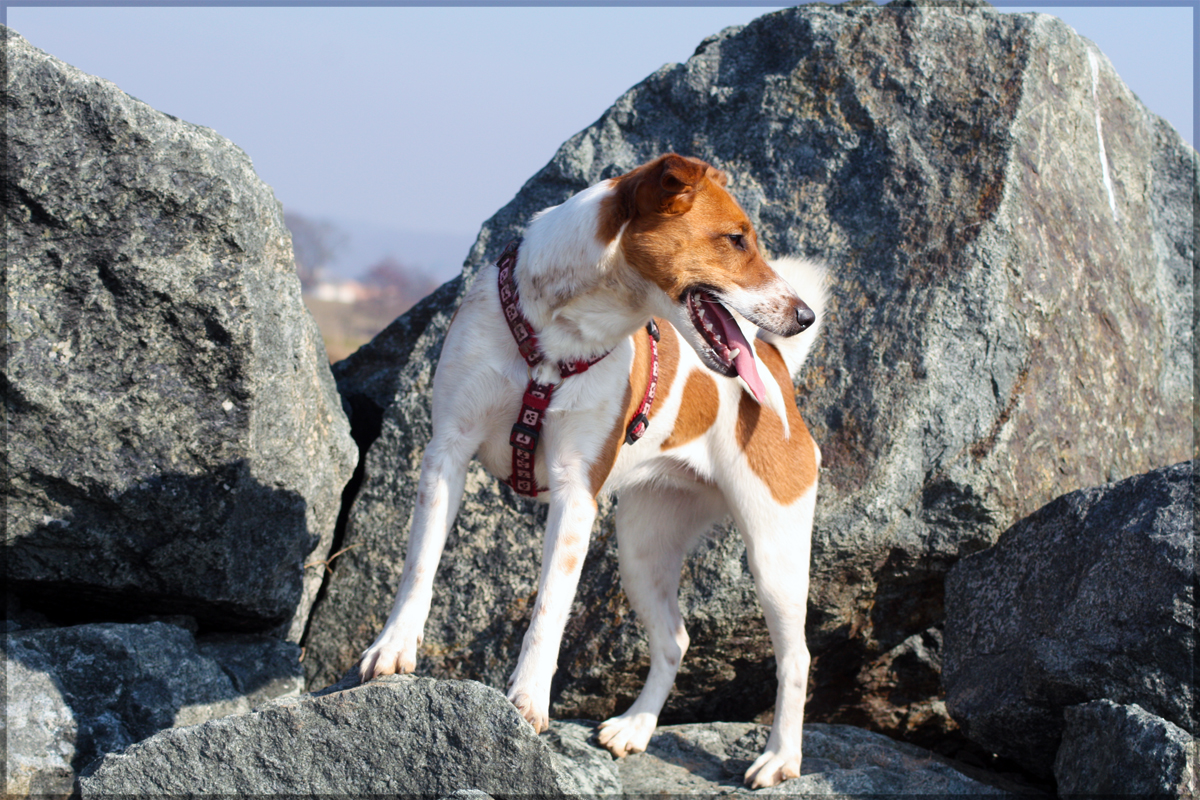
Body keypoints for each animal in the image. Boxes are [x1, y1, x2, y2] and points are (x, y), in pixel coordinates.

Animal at [360, 151, 830, 786]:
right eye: (736, 239)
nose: (805, 316)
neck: (561, 334)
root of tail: (777, 368)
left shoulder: (575, 492)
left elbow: (549, 607)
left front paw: (528, 701)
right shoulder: (446, 455)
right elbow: (419, 565)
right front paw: (394, 647)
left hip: (774, 551)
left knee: (796, 656)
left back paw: (780, 757)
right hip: (641, 547)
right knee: (675, 640)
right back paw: (636, 727)